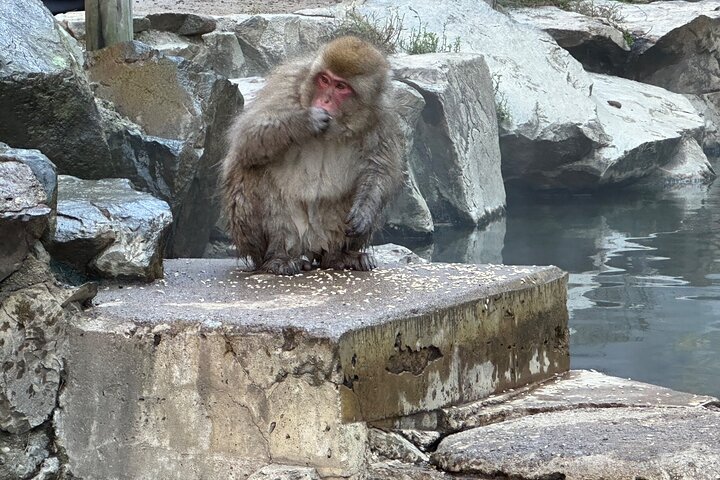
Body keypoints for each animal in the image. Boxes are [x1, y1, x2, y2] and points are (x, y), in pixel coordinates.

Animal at [221, 36, 404, 275]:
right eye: (324, 80)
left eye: (341, 86)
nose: (324, 101)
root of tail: (309, 246)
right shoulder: (289, 83)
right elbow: (246, 138)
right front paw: (305, 121)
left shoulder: (382, 113)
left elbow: (379, 168)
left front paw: (365, 210)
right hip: (282, 236)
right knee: (251, 170)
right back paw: (277, 258)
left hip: (326, 233)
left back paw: (340, 257)